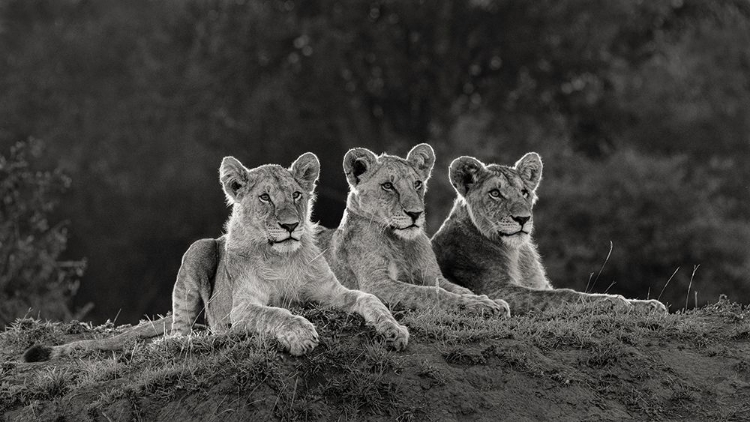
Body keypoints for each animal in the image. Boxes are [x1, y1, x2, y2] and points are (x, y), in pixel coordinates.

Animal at [23, 153, 408, 362]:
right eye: (265, 198)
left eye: (297, 195)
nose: (290, 225)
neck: (282, 258)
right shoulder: (243, 308)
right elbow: (278, 312)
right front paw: (301, 335)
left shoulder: (331, 292)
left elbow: (369, 298)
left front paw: (393, 329)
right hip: (198, 251)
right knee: (180, 331)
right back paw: (195, 337)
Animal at [318, 143, 512, 314]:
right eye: (387, 186)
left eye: (417, 184)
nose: (415, 213)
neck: (400, 242)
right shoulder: (376, 283)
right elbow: (429, 293)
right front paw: (478, 305)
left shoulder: (434, 277)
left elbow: (461, 290)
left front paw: (487, 300)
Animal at [428, 153, 668, 314]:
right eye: (495, 193)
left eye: (524, 192)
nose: (523, 219)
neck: (517, 252)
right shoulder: (495, 291)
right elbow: (562, 295)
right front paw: (613, 301)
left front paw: (649, 304)